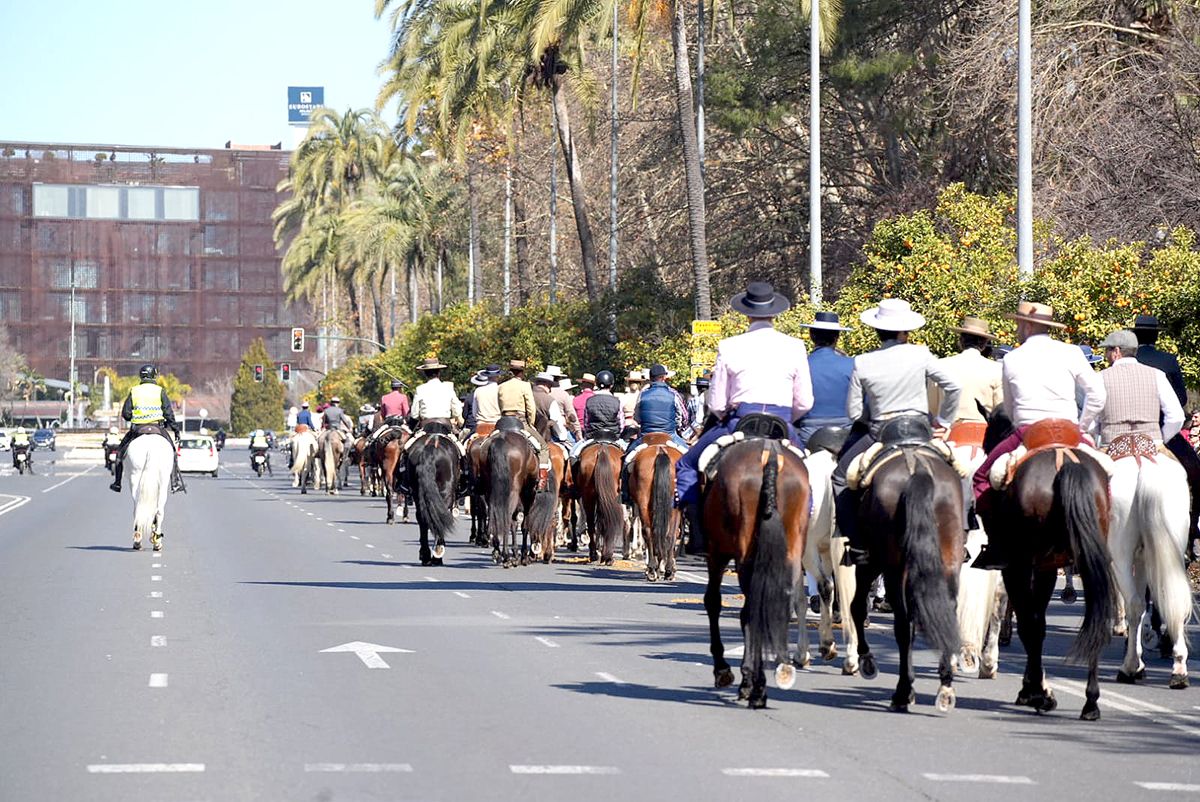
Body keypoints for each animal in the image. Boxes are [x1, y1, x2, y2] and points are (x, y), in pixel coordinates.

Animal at [624, 434, 681, 578]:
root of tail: (660, 450)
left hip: (643, 503)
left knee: (649, 531)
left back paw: (652, 568)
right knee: (669, 533)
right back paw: (666, 569)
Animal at [700, 439, 811, 705]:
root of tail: (770, 454)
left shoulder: (716, 553)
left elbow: (713, 602)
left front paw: (723, 670)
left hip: (744, 554)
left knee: (751, 610)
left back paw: (754, 684)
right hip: (792, 549)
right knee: (784, 599)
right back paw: (780, 669)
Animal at [854, 444, 964, 715]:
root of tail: (918, 469)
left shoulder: (868, 562)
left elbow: (857, 607)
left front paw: (867, 660)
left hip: (891, 567)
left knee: (904, 625)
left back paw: (903, 692)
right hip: (949, 562)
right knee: (947, 613)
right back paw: (945, 685)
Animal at [984, 413, 1113, 720]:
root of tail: (1063, 459)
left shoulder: (1018, 567)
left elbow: (1030, 624)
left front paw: (1035, 693)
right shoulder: (1046, 568)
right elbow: (1037, 623)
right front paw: (1036, 689)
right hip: (1091, 559)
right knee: (1099, 616)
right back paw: (1091, 702)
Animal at [1108, 444, 1195, 691]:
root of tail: (1142, 464)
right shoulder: (1142, 559)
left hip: (1120, 556)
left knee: (1134, 604)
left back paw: (1128, 667)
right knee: (1172, 602)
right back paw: (1178, 668)